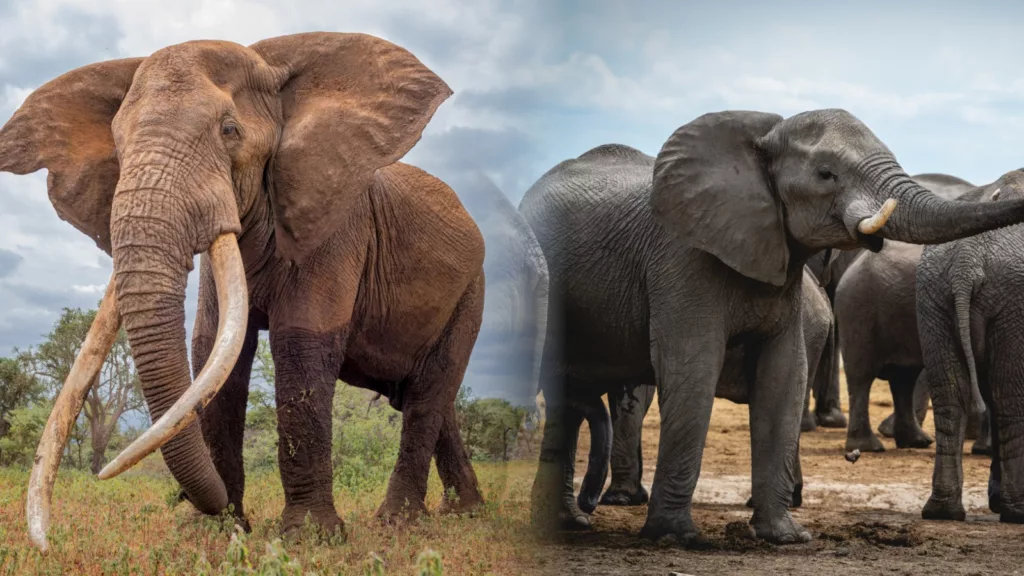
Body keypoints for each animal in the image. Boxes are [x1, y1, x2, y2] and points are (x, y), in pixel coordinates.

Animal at [0, 32, 488, 551]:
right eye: (117, 143)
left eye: (229, 131)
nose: (198, 503)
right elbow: (215, 350)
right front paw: (217, 530)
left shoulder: (336, 226)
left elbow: (299, 346)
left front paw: (309, 537)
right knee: (426, 398)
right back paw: (465, 511)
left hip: (471, 290)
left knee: (428, 395)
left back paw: (399, 522)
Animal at [916, 169, 1024, 522]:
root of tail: (967, 260)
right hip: (1012, 301)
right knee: (1009, 397)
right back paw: (1017, 512)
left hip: (931, 295)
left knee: (952, 395)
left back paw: (942, 511)